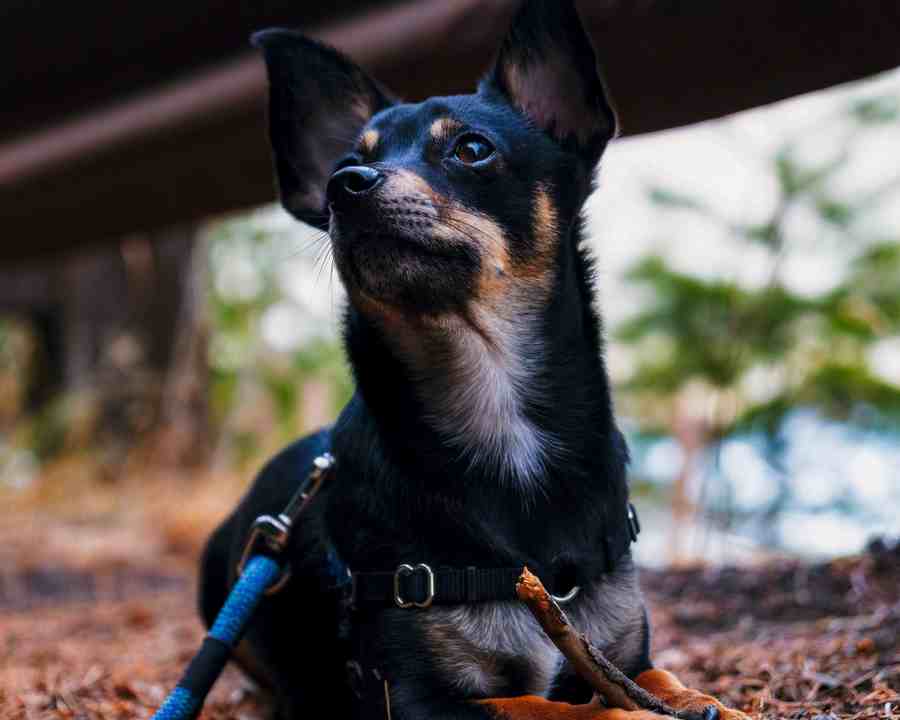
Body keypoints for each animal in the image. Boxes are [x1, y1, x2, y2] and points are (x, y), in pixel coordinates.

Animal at [202, 2, 752, 716]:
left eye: (471, 149)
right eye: (348, 161)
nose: (345, 184)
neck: (498, 411)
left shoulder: (627, 656)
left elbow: (662, 682)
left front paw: (713, 702)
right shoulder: (418, 696)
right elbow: (553, 707)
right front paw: (617, 710)